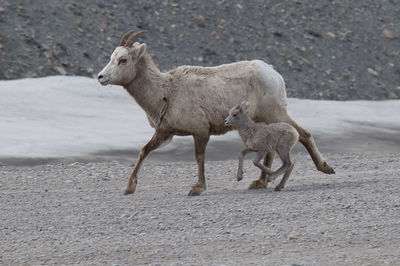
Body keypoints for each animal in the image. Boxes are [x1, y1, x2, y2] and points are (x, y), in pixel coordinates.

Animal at [97, 30, 334, 196]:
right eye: (111, 57)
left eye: (123, 60)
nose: (100, 77)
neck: (166, 92)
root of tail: (273, 73)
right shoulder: (164, 133)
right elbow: (143, 151)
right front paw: (129, 188)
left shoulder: (200, 131)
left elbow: (199, 157)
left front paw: (197, 188)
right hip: (265, 120)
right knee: (271, 148)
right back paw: (259, 183)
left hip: (276, 113)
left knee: (304, 135)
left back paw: (325, 168)